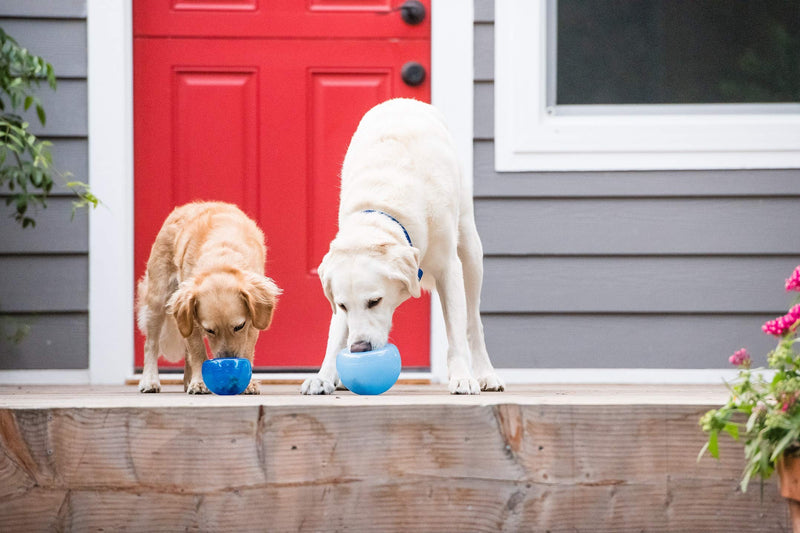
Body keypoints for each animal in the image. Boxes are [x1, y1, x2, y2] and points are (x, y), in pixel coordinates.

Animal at [134, 202, 278, 392]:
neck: (221, 260)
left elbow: (247, 349)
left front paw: (248, 383)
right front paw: (199, 382)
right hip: (157, 299)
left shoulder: (254, 317)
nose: (228, 360)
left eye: (239, 326)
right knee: (151, 344)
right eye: (209, 330)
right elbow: (197, 351)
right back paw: (150, 380)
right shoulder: (191, 316)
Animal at [304, 97, 504, 392]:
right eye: (342, 306)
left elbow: (456, 331)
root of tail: (404, 100)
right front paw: (324, 376)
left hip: (470, 249)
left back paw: (485, 373)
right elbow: (336, 332)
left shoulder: (448, 267)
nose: (359, 348)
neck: (384, 206)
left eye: (374, 301)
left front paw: (462, 376)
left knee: (472, 321)